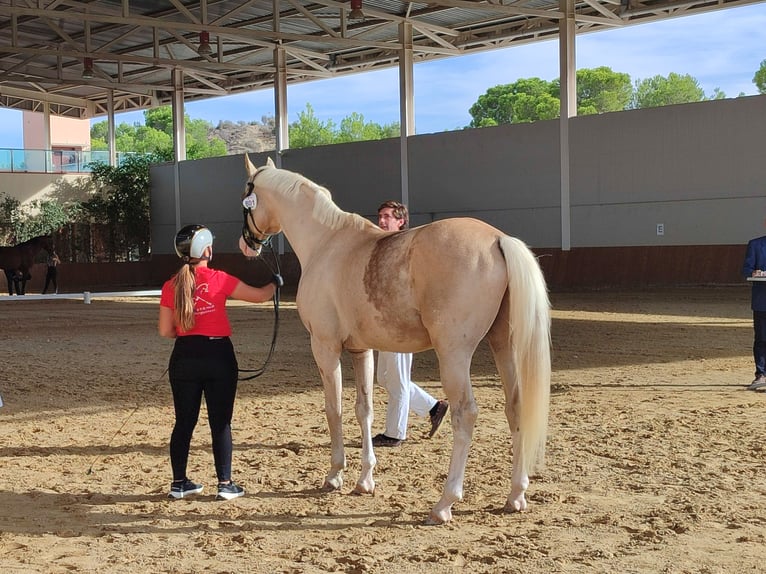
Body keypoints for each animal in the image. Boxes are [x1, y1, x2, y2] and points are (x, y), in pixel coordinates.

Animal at [240, 155, 552, 524]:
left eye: (245, 196)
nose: (246, 244)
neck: (327, 242)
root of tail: (498, 240)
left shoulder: (325, 347)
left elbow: (334, 409)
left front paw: (335, 475)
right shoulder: (361, 350)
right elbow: (364, 410)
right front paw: (364, 480)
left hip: (454, 354)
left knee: (465, 414)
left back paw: (444, 504)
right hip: (503, 345)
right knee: (515, 407)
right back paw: (516, 495)